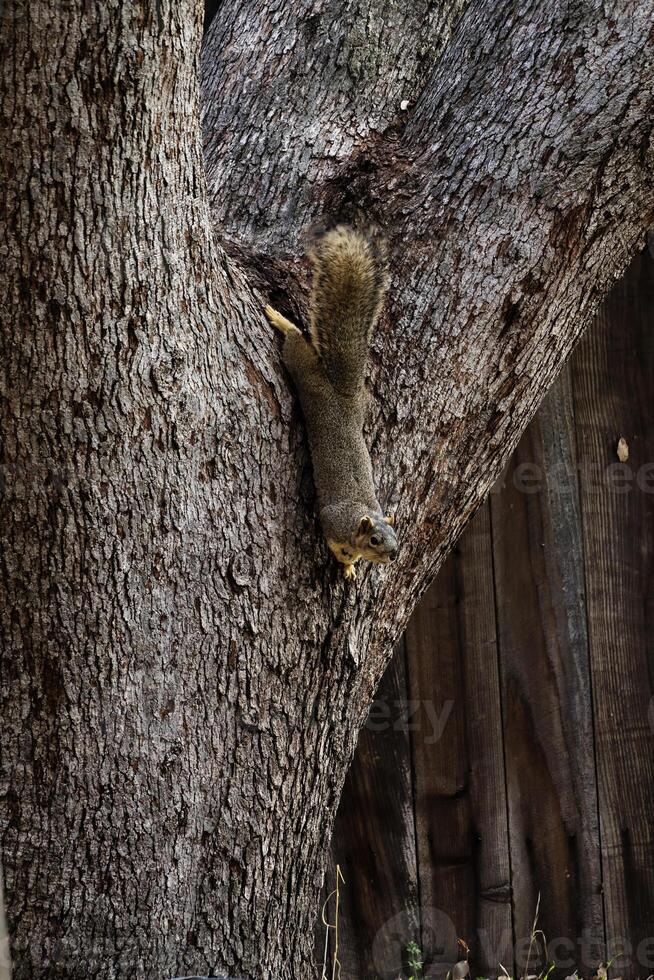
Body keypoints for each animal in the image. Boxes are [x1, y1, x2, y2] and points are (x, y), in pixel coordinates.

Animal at [266, 225, 400, 580]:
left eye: (396, 536)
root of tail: (342, 393)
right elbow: (332, 543)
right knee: (297, 344)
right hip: (306, 375)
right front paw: (345, 561)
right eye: (375, 540)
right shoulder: (332, 522)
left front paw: (351, 566)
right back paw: (280, 320)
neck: (360, 517)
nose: (394, 555)